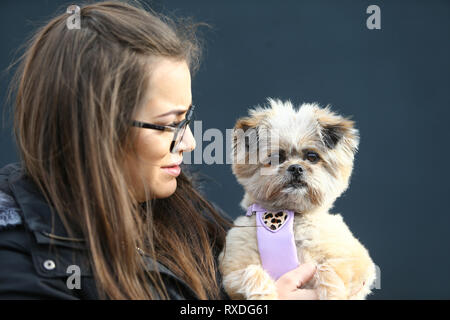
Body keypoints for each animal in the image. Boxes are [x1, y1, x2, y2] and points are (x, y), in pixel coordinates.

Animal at [218, 98, 376, 300]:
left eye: (312, 157)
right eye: (276, 158)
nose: (295, 167)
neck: (290, 214)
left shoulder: (358, 262)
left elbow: (327, 268)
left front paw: (331, 293)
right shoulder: (232, 275)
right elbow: (252, 272)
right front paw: (265, 295)